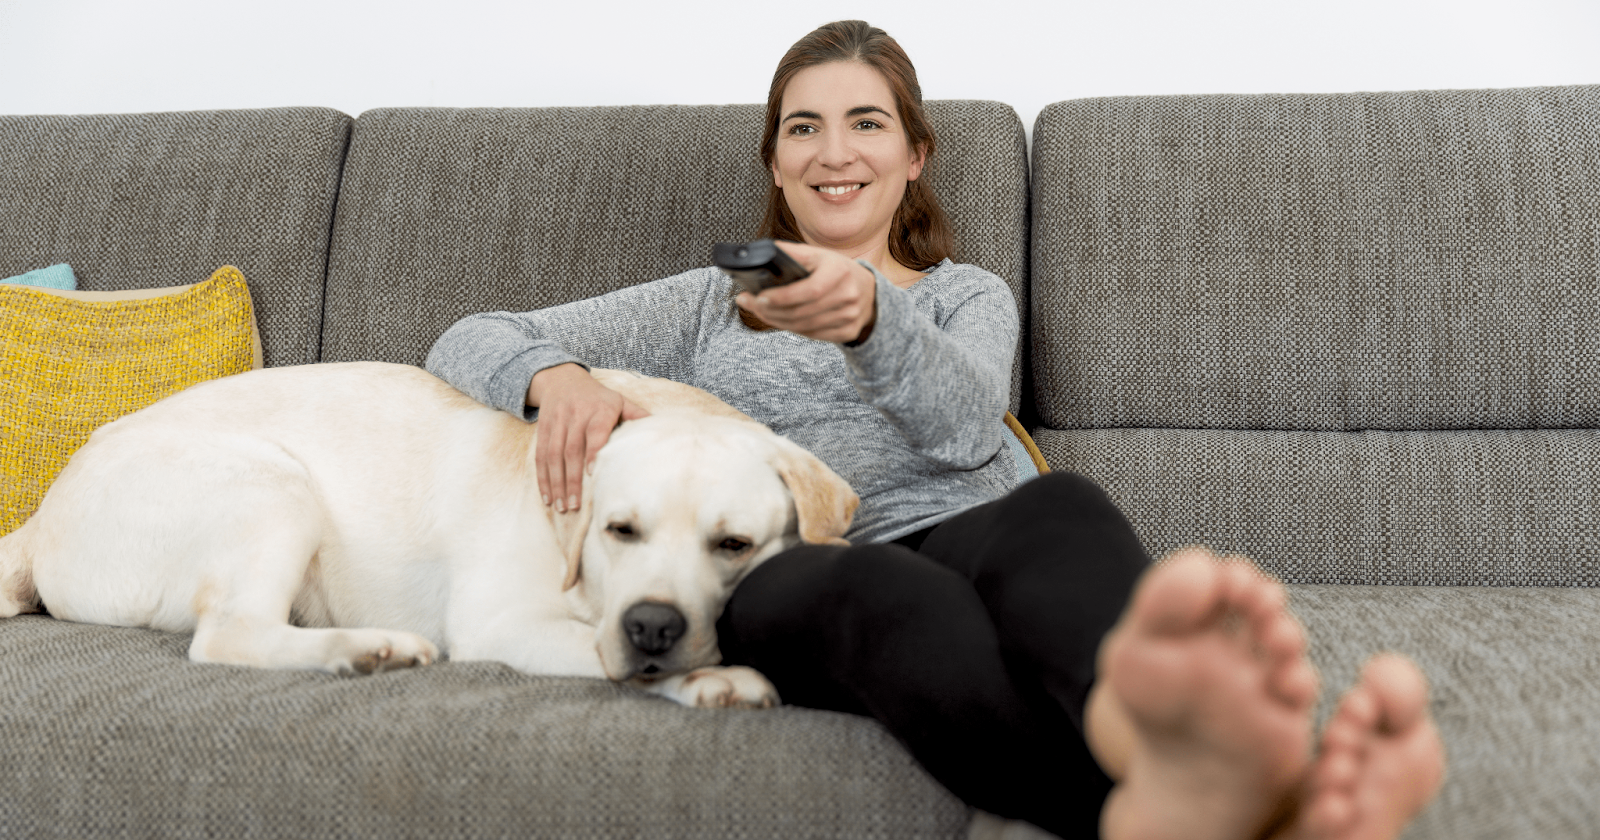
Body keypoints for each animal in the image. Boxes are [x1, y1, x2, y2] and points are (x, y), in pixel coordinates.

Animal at [0, 360, 864, 707]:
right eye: (621, 530)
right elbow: (603, 655)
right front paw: (717, 677)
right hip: (271, 484)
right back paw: (368, 648)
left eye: (734, 546)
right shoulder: (504, 624)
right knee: (228, 635)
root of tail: (41, 516)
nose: (652, 626)